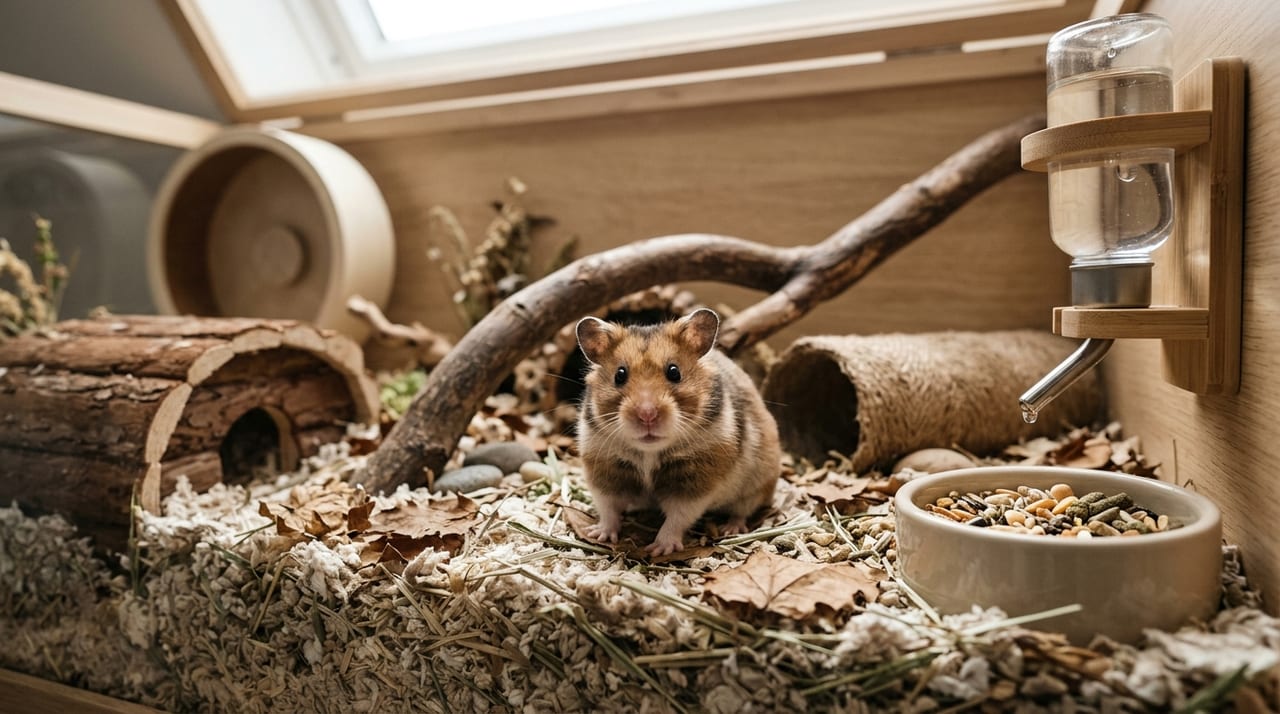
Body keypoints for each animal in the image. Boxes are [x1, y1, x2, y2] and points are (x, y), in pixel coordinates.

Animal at [575, 308, 781, 556]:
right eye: (620, 375)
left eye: (674, 372)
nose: (647, 414)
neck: (649, 451)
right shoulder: (605, 470)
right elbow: (608, 508)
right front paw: (599, 535)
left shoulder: (696, 481)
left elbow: (677, 517)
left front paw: (659, 549)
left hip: (757, 484)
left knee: (742, 510)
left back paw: (730, 529)